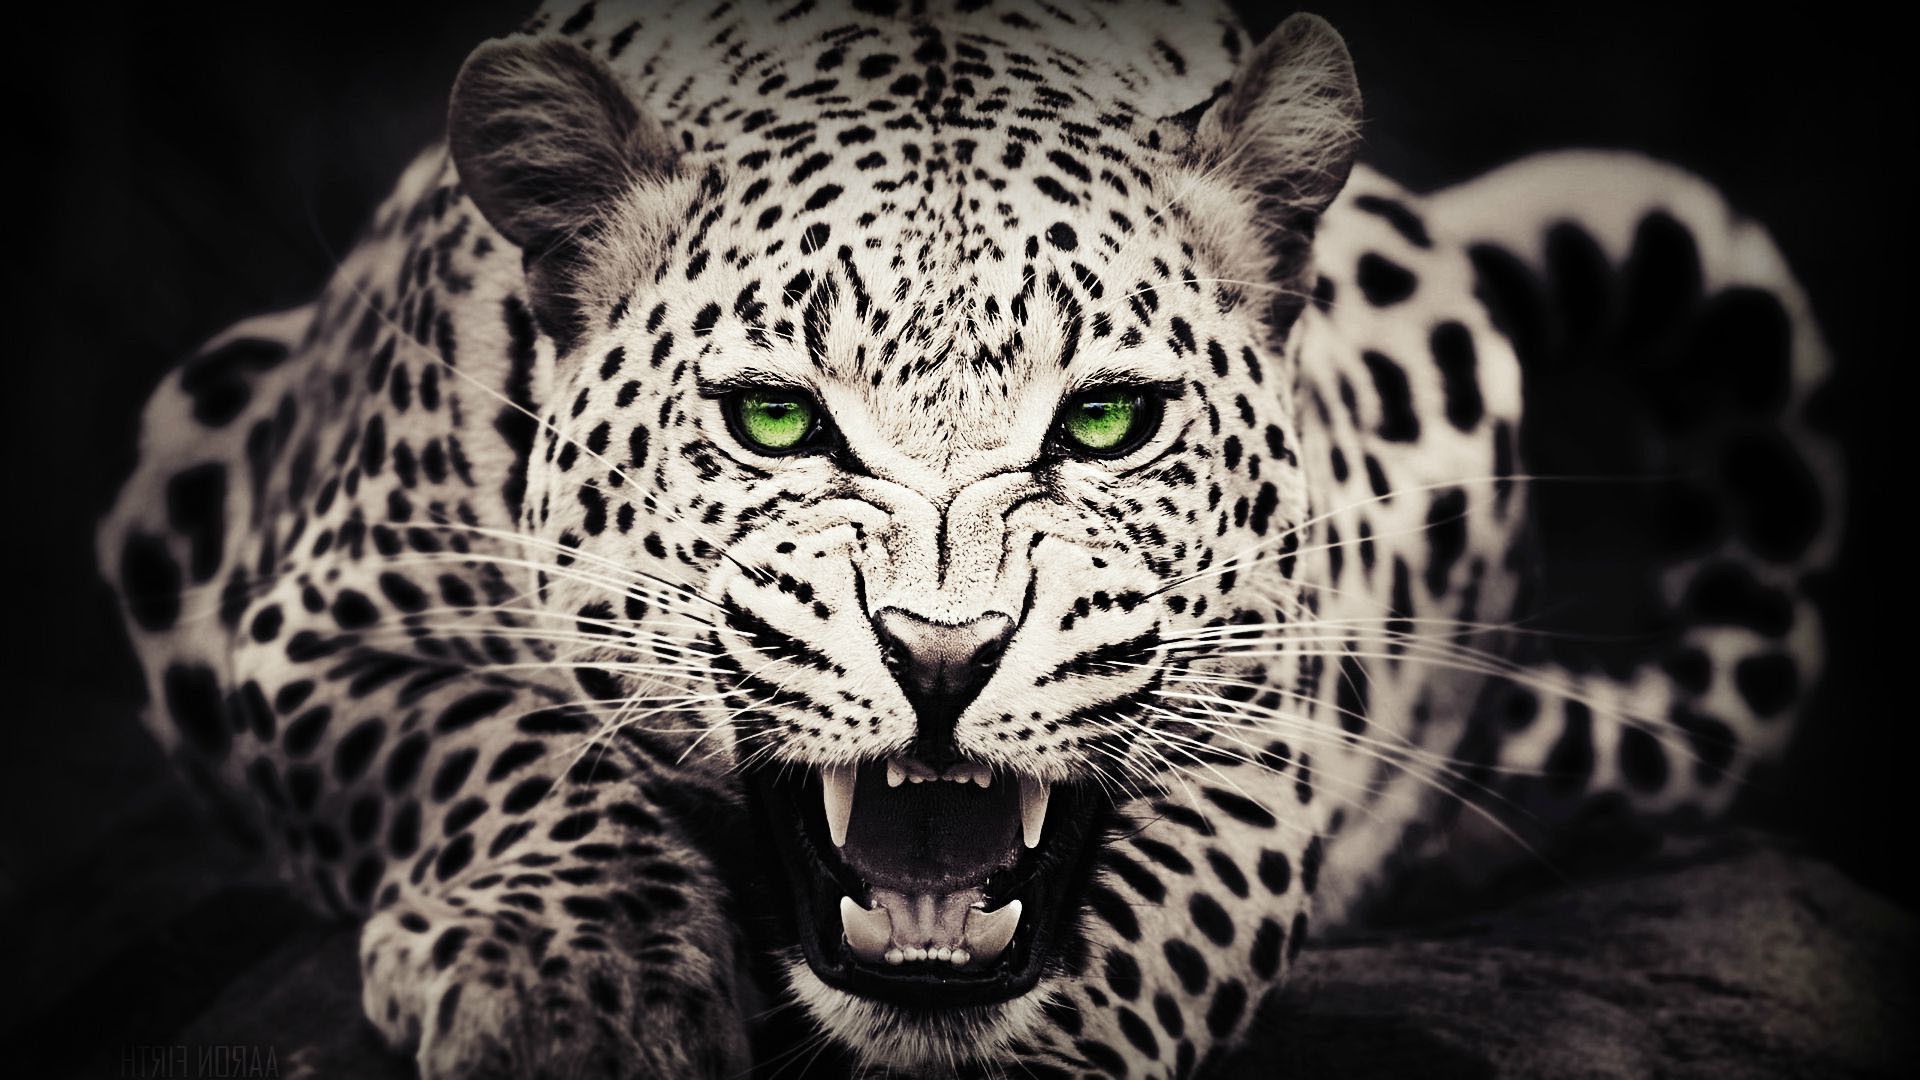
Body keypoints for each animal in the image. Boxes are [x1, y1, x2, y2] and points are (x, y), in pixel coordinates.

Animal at [97, 0, 1842, 1076]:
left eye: (1108, 422)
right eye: (777, 421)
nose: (944, 658)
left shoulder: (1268, 712)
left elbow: (1163, 913)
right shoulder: (312, 619)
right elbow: (491, 745)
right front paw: (569, 988)